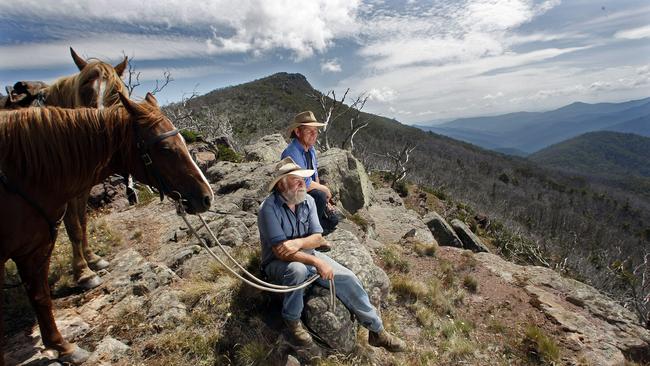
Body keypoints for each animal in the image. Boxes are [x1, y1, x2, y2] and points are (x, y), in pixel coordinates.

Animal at [0, 93, 213, 364]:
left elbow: (41, 296)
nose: (207, 197)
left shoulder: (37, 246)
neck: (25, 175)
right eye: (164, 149)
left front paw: (63, 347)